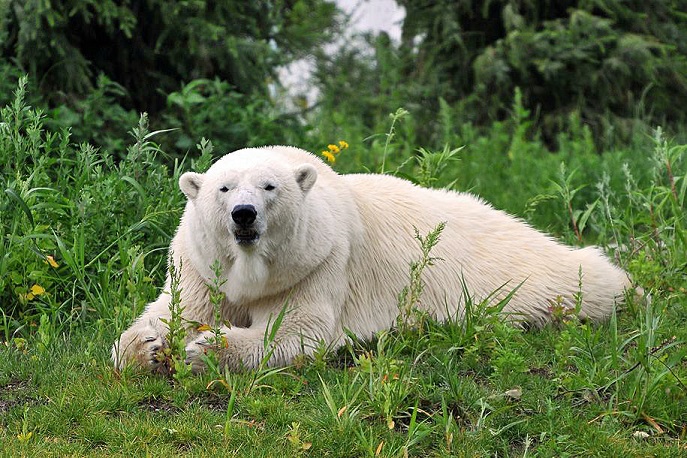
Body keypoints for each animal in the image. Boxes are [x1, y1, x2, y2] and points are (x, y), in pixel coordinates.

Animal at [113, 147, 636, 372]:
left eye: (269, 186)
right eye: (224, 188)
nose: (244, 214)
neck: (254, 269)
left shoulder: (318, 263)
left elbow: (298, 330)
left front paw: (208, 348)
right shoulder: (202, 266)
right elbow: (176, 308)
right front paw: (147, 346)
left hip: (513, 270)